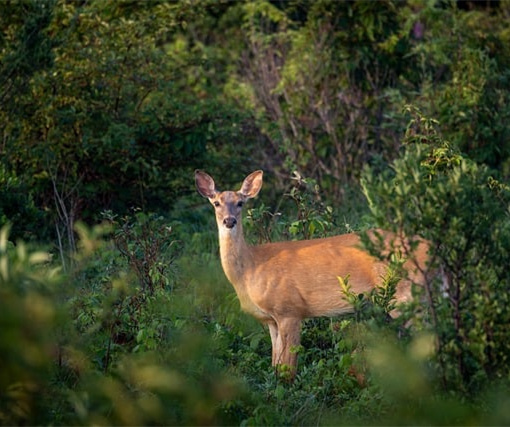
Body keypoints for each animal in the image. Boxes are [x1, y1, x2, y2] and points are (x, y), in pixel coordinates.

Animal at [195, 170, 430, 378]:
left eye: (240, 203)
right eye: (216, 203)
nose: (229, 221)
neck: (250, 269)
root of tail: (429, 246)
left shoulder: (289, 309)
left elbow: (288, 369)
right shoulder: (271, 320)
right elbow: (275, 364)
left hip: (405, 293)